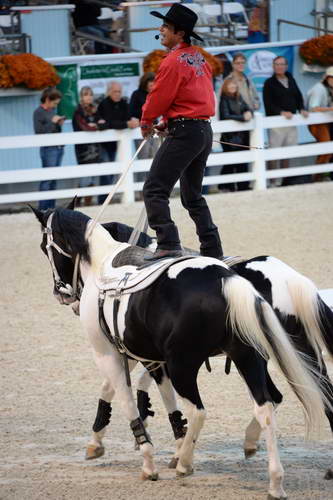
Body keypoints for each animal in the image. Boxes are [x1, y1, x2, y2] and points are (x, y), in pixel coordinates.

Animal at [32, 204, 328, 500]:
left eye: (45, 247)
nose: (62, 295)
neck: (102, 266)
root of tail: (225, 280)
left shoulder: (110, 354)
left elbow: (126, 401)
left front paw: (148, 461)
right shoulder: (149, 359)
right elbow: (156, 399)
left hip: (185, 366)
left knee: (199, 411)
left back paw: (186, 464)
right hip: (250, 357)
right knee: (268, 406)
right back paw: (273, 479)